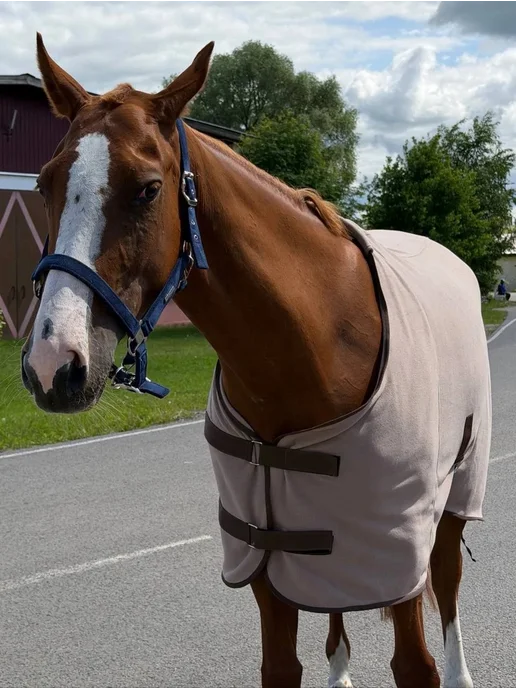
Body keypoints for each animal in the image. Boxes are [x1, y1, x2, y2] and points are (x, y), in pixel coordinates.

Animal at [21, 34, 491, 688]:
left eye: (148, 188)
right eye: (45, 183)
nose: (53, 365)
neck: (317, 343)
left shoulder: (399, 552)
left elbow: (414, 663)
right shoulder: (270, 559)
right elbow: (282, 663)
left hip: (454, 499)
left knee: (447, 584)